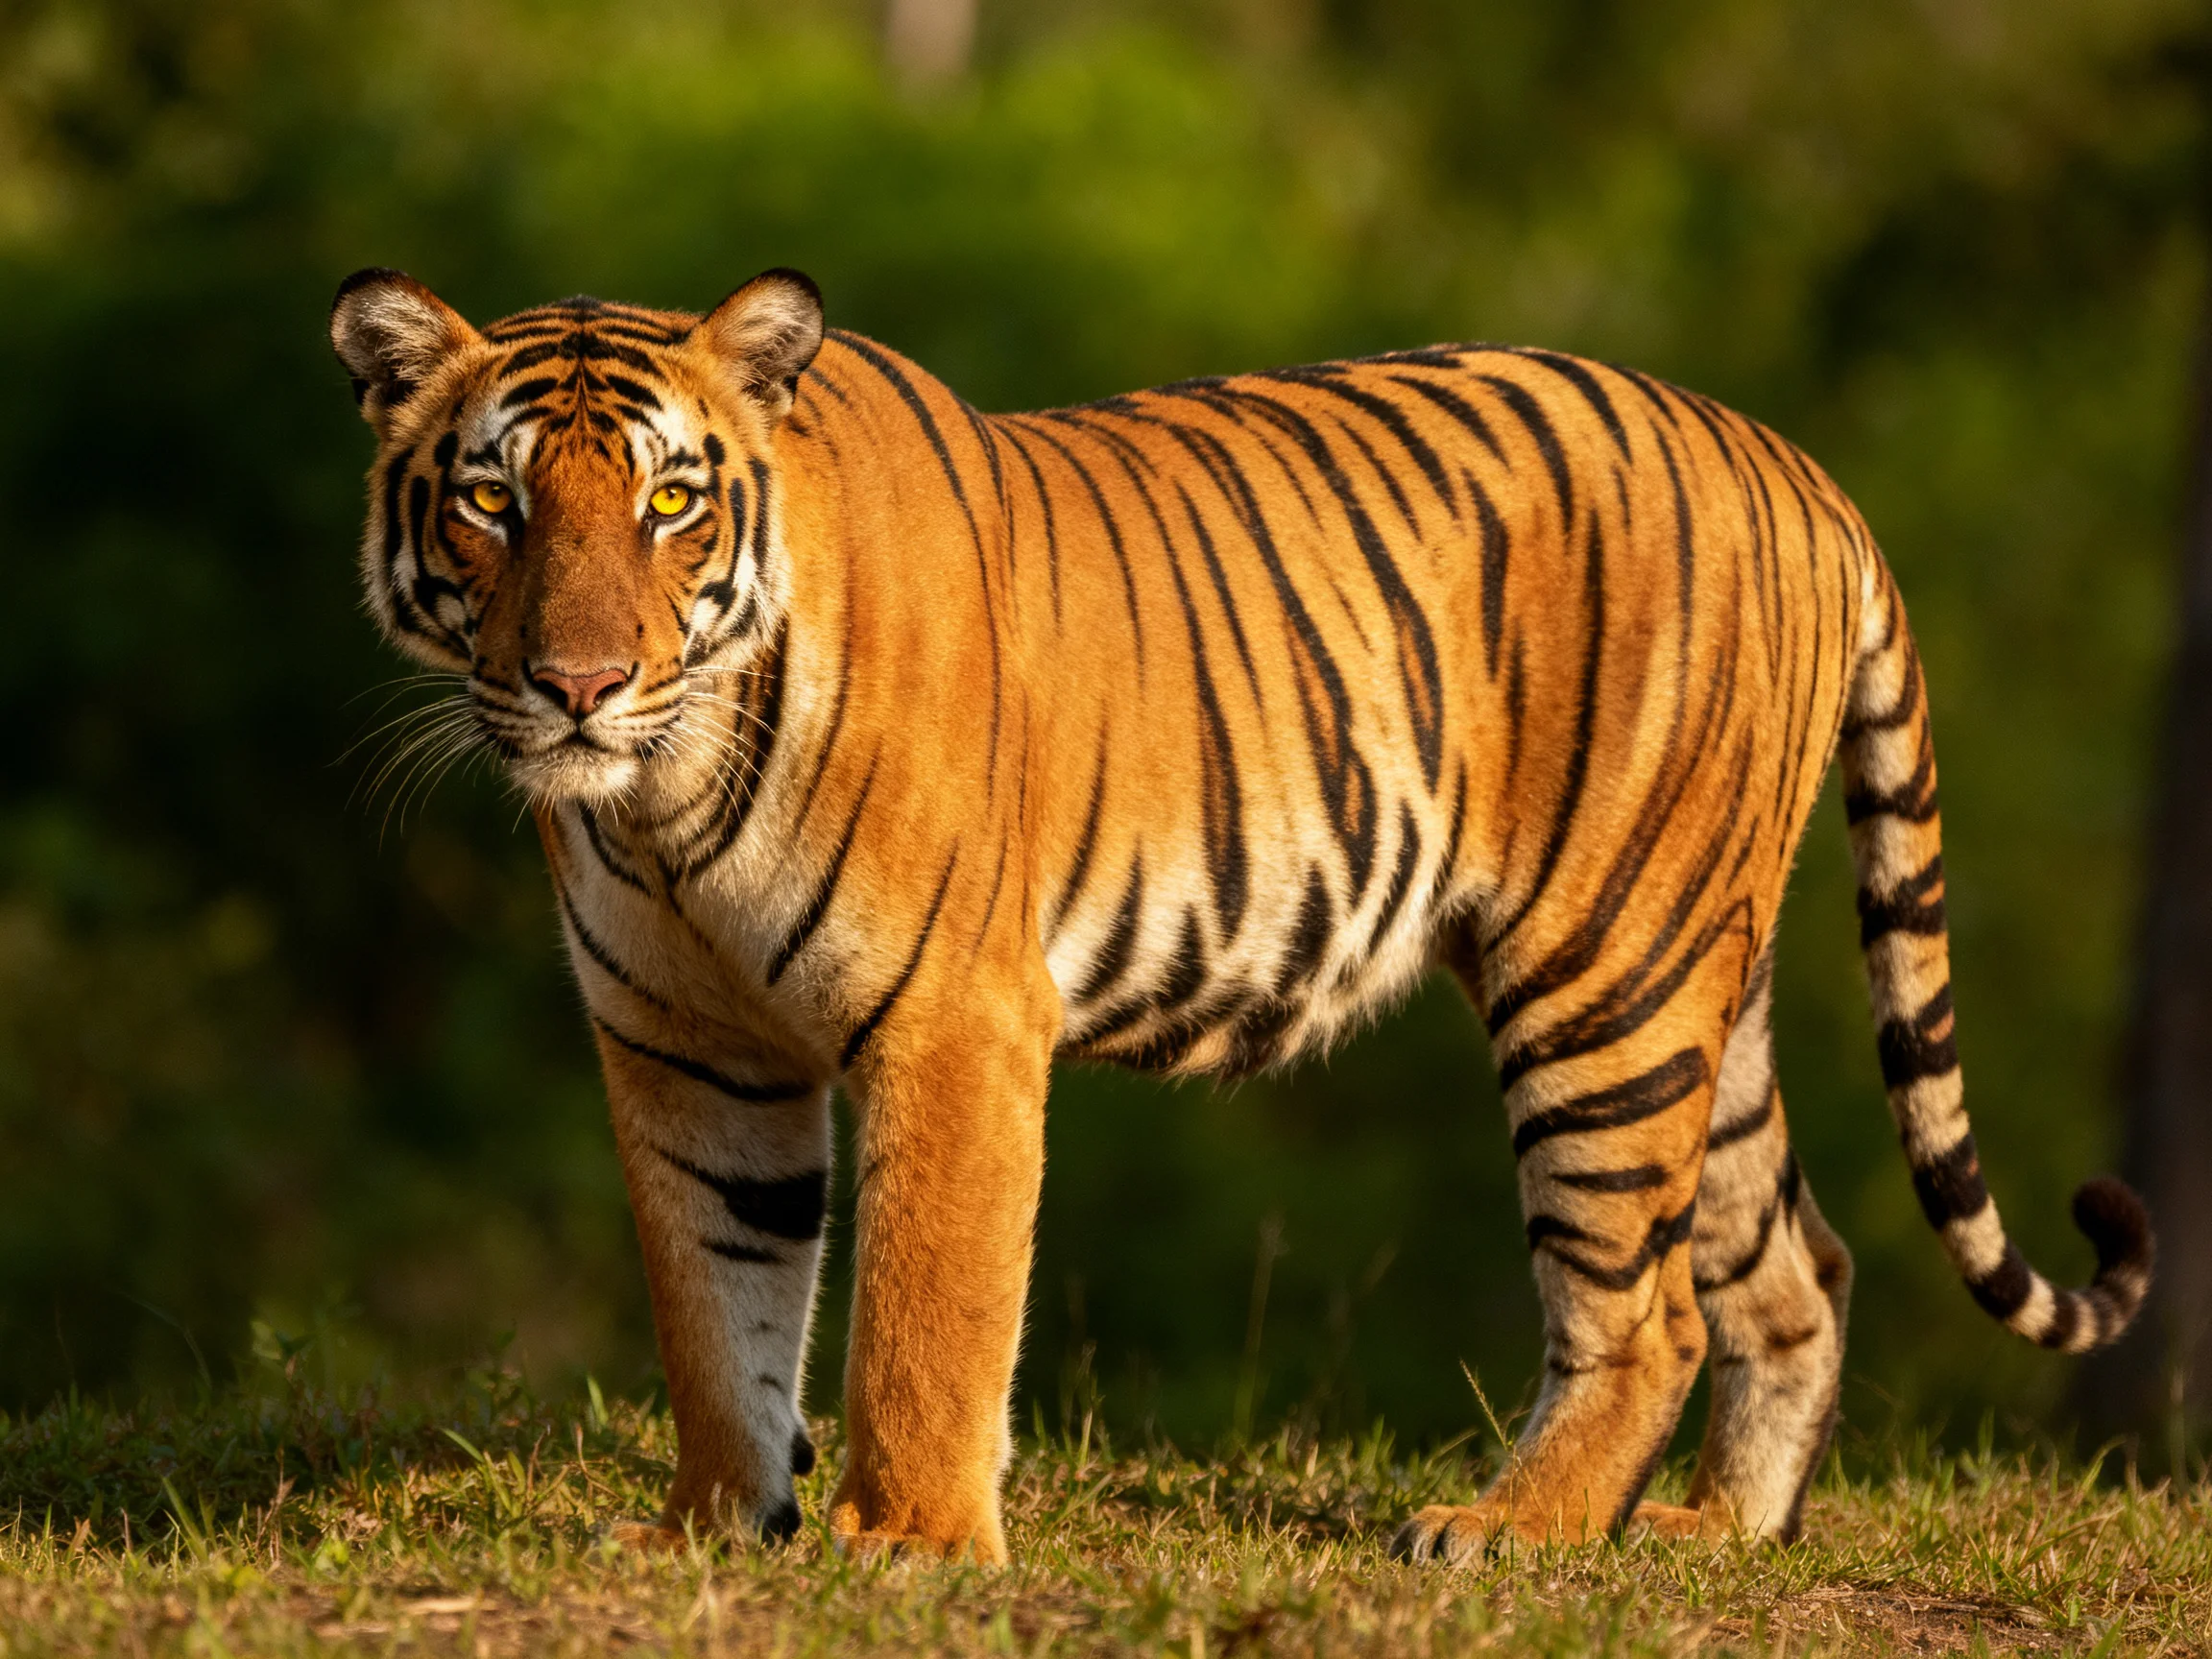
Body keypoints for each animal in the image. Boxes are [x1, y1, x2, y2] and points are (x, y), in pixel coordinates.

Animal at [329, 264, 2153, 1562]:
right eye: (492, 501)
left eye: (667, 502)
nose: (577, 684)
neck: (659, 805)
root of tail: (1795, 465)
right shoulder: (685, 1047)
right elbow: (716, 1302)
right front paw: (715, 1533)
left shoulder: (952, 1020)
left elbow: (923, 1309)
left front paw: (902, 1544)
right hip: (1701, 978)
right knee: (1795, 1265)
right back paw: (1710, 1538)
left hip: (1604, 977)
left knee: (1648, 1305)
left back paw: (1507, 1535)